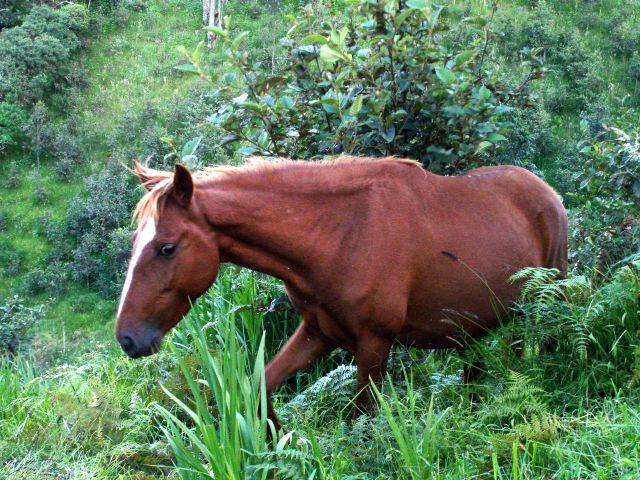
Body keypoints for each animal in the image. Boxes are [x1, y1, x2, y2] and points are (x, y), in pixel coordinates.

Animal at [115, 156, 568, 430]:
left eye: (166, 248)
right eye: (135, 243)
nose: (127, 338)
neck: (342, 235)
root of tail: (545, 191)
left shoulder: (374, 345)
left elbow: (360, 418)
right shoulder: (319, 333)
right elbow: (260, 384)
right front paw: (275, 439)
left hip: (549, 302)